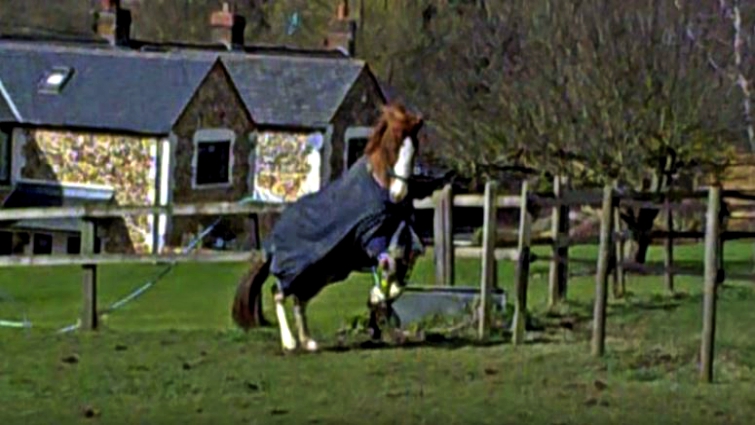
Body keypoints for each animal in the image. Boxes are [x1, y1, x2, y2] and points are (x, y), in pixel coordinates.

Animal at [232, 103, 426, 352]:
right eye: (393, 145)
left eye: (415, 148)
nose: (399, 193)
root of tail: (272, 240)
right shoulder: (371, 241)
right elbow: (387, 268)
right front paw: (377, 304)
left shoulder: (401, 241)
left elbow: (398, 278)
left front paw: (377, 303)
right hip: (297, 268)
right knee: (279, 293)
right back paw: (290, 343)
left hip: (320, 273)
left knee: (299, 299)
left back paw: (308, 341)